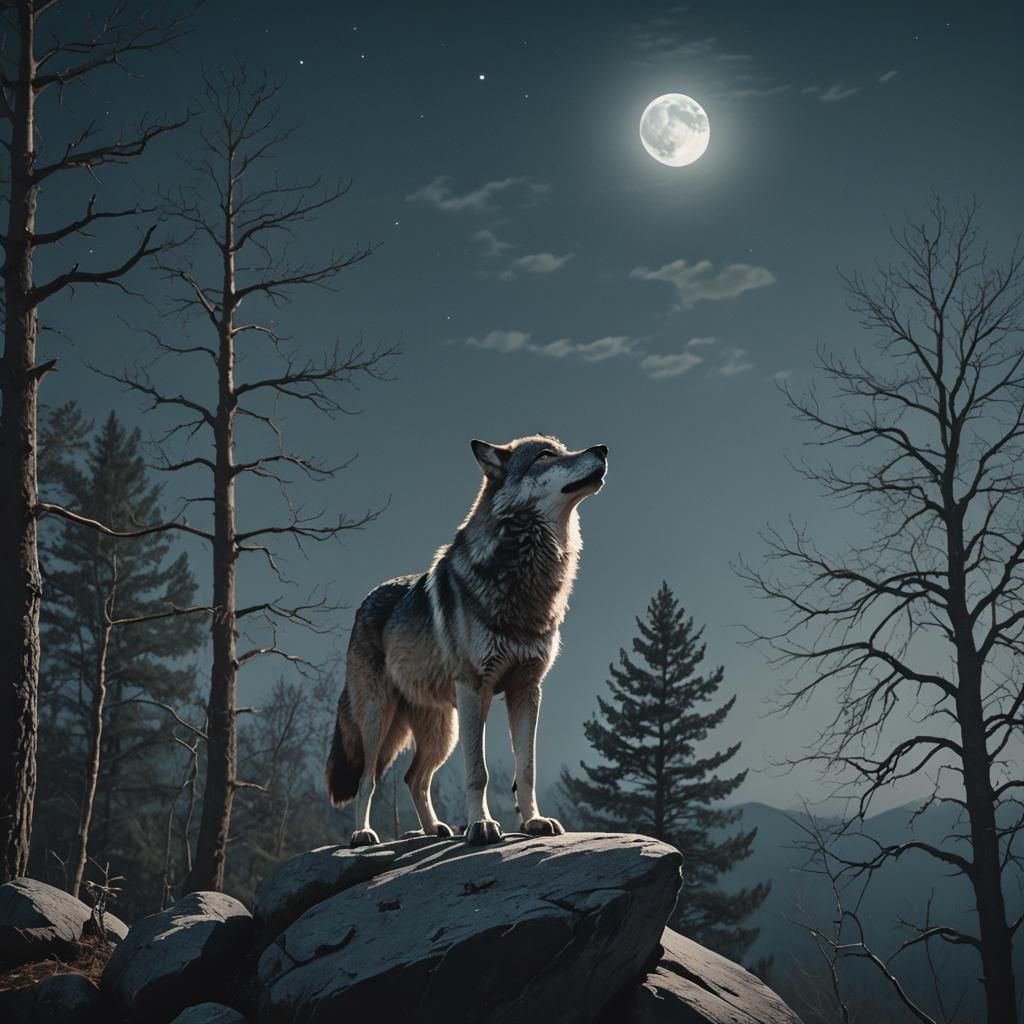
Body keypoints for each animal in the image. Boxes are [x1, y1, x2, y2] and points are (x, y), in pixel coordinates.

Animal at [325, 434, 607, 846]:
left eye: (564, 449)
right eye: (545, 455)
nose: (602, 449)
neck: (526, 574)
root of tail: (366, 601)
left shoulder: (528, 689)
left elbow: (527, 768)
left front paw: (533, 822)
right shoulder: (477, 688)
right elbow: (480, 772)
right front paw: (481, 826)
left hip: (443, 730)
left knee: (414, 778)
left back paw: (434, 829)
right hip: (381, 720)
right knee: (368, 778)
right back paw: (363, 833)